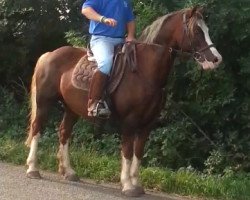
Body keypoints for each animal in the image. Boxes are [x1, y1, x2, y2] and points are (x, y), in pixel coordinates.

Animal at [24, 6, 221, 197]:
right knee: (37, 129)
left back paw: (69, 172)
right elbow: (127, 151)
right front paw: (127, 185)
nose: (216, 59)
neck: (143, 71)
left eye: (206, 29)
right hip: (44, 103)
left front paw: (137, 184)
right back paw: (33, 169)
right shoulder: (129, 121)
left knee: (64, 133)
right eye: (196, 31)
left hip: (71, 109)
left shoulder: (147, 123)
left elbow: (138, 152)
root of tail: (49, 54)